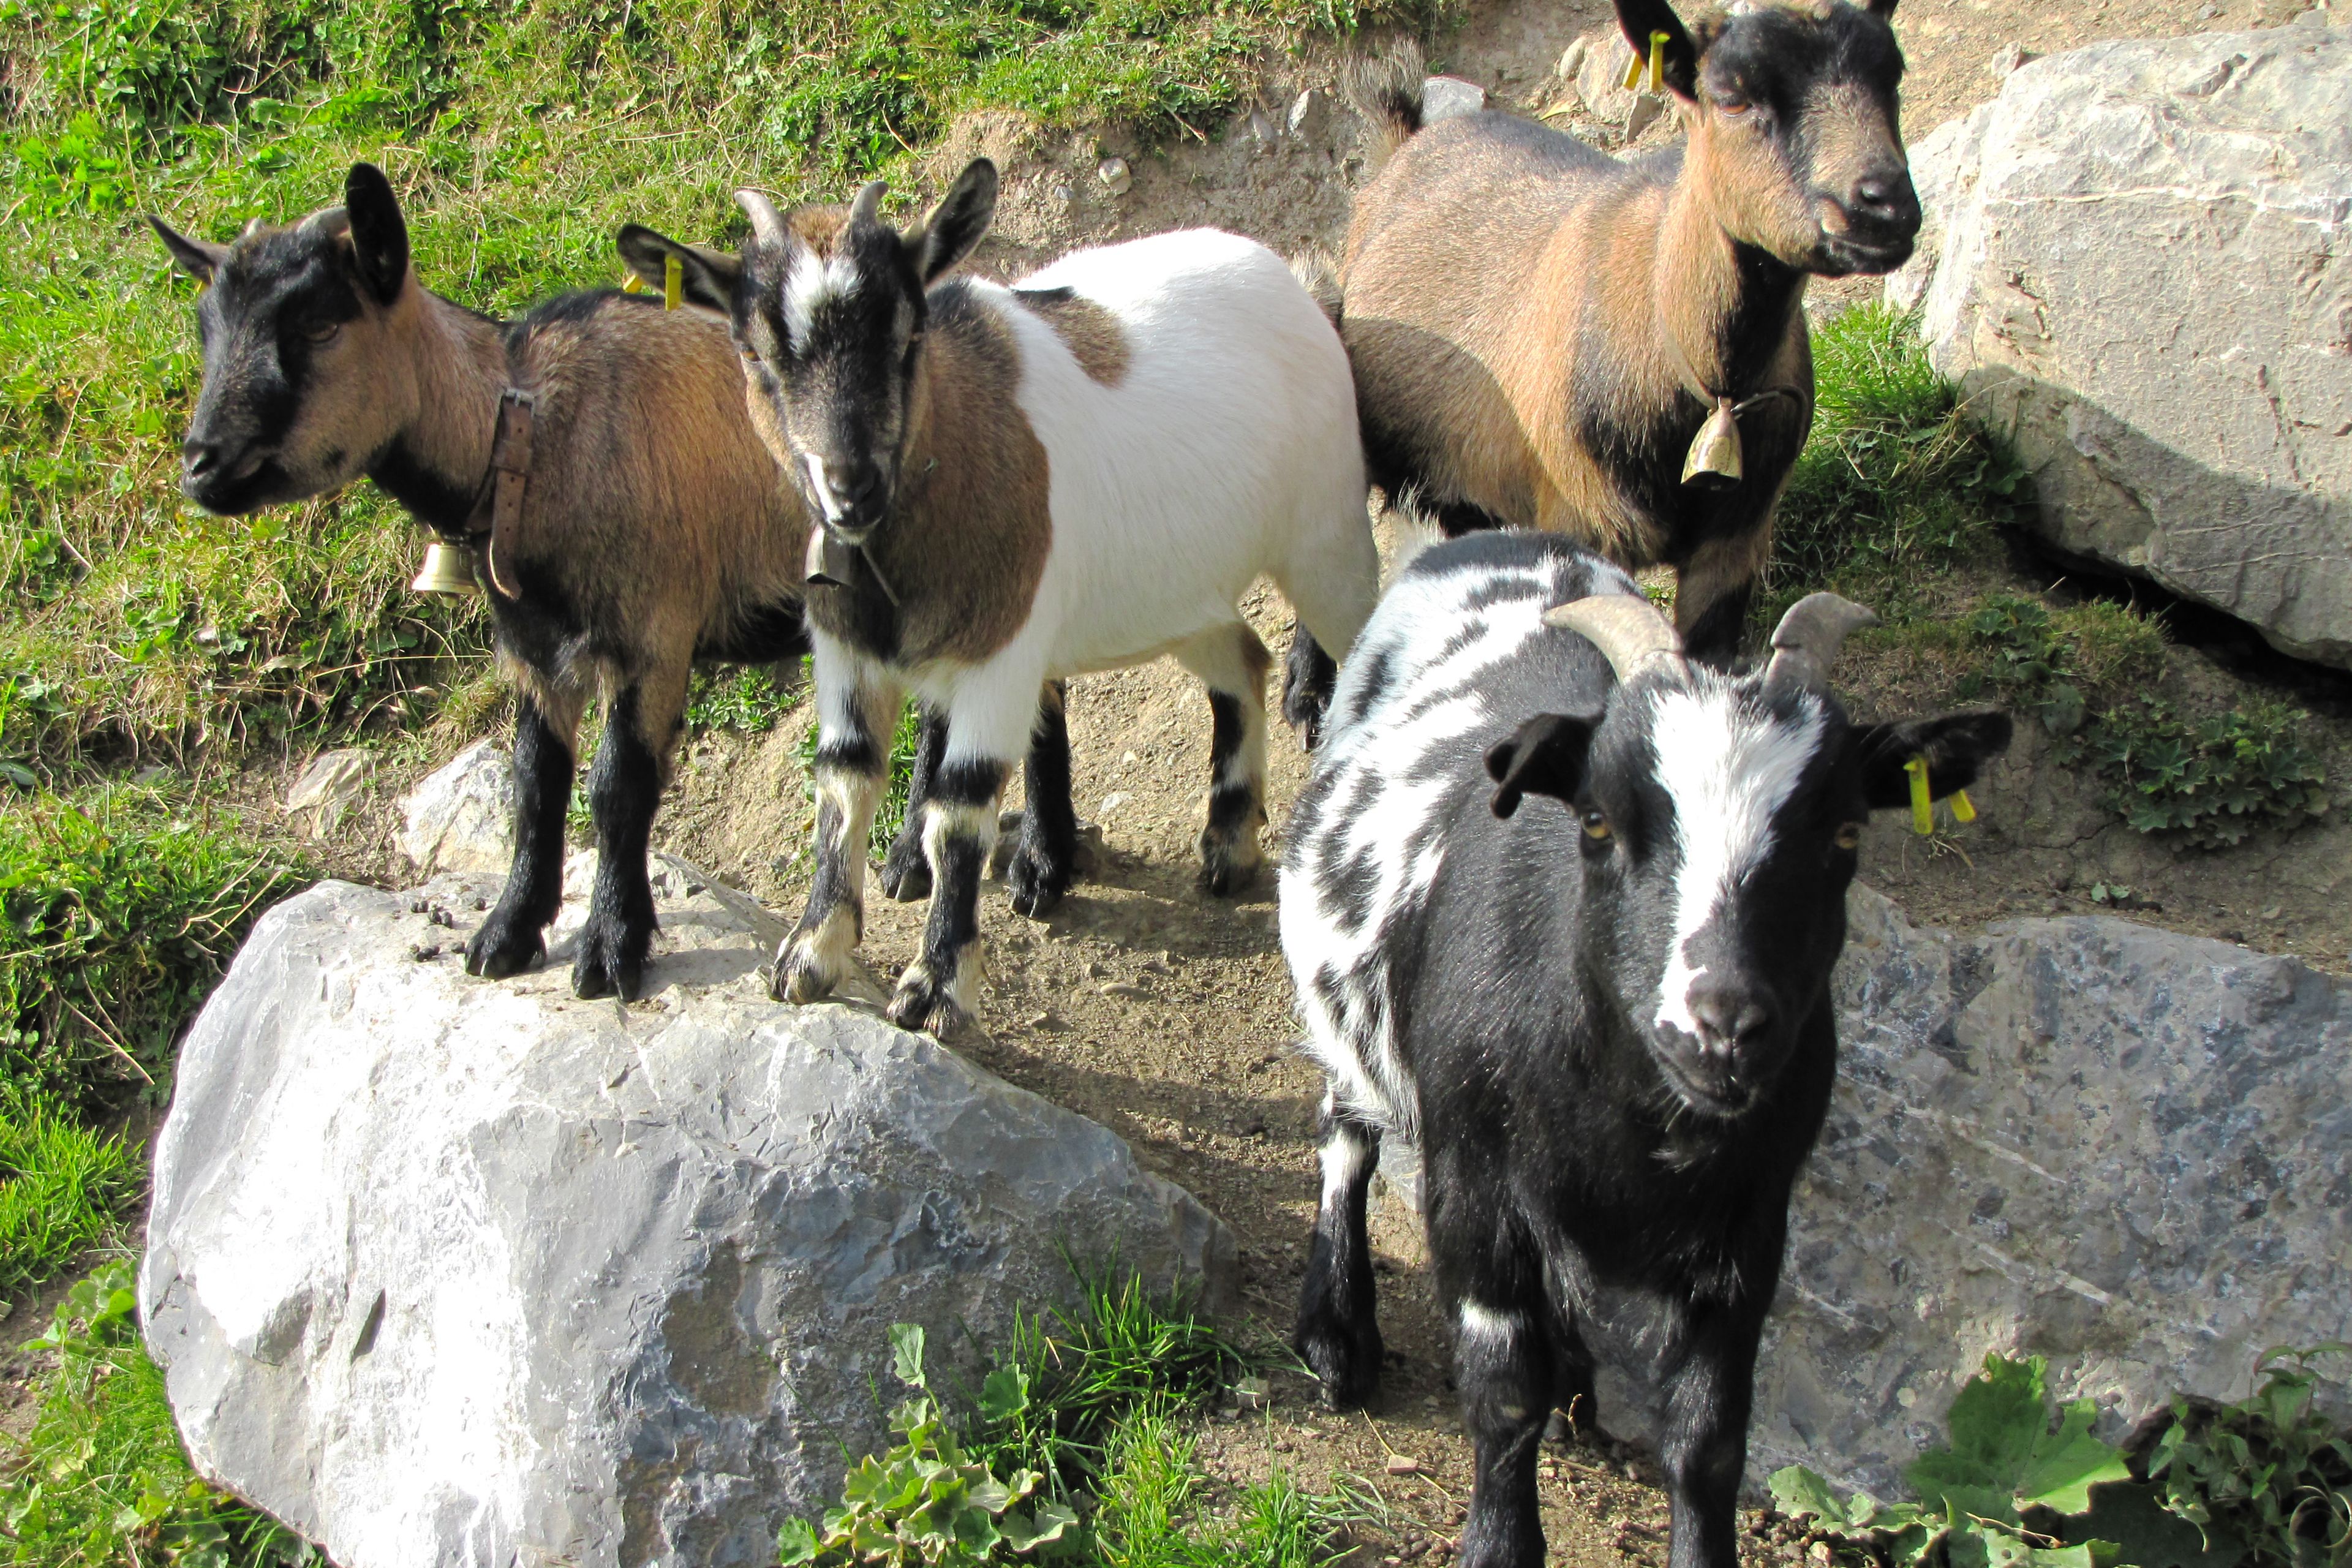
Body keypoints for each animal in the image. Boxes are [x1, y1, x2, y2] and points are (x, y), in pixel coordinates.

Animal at [625, 165, 1382, 1034]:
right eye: (754, 353)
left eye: (907, 333)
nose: (851, 487)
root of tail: (1295, 281)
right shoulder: (846, 652)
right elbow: (844, 779)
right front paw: (810, 951)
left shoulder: (1001, 651)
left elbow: (960, 810)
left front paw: (937, 985)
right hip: (1176, 591)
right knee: (1241, 656)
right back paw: (1228, 839)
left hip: (1325, 536)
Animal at [1279, 533, 2013, 1568]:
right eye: (1598, 820)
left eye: (1845, 829)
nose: (1723, 1024)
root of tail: (1507, 538)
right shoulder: (1474, 1190)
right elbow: (1503, 1392)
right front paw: (1499, 1543)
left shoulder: (1749, 1229)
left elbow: (1709, 1437)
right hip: (1346, 985)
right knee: (1345, 1124)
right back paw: (1337, 1331)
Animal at [1289, 0, 1928, 705]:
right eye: (1732, 95)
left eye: (1892, 71)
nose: (1883, 207)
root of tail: (1404, 141)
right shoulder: (1578, 527)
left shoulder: (1734, 546)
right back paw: (1307, 692)